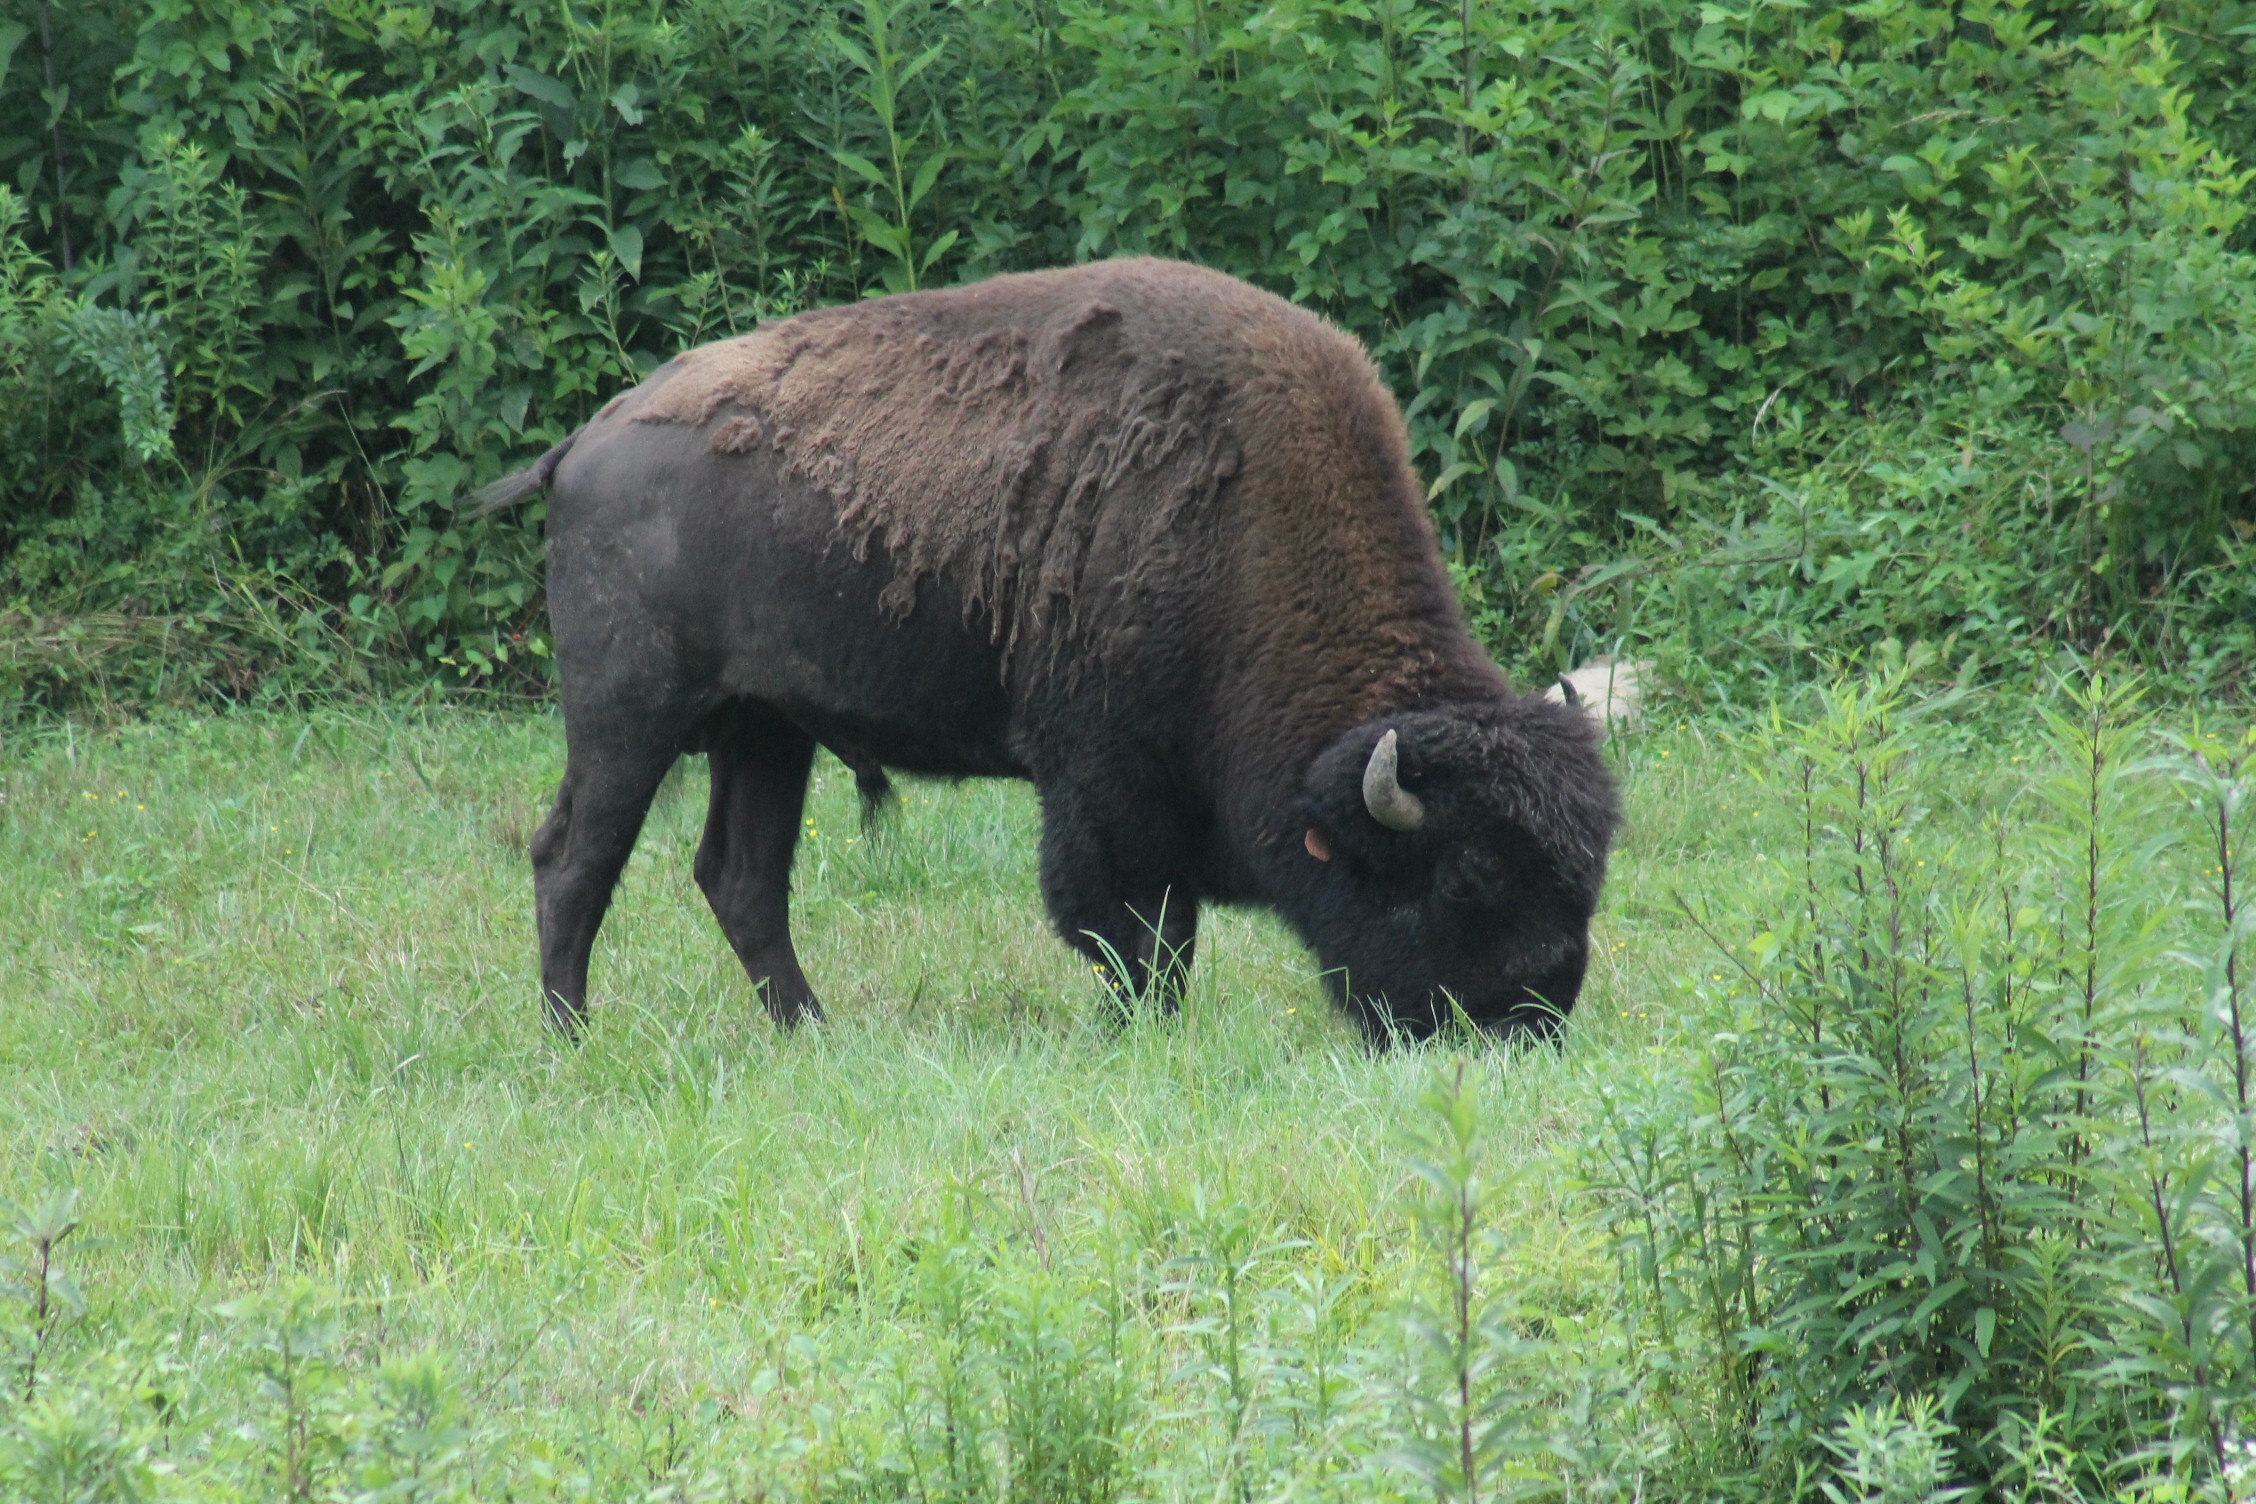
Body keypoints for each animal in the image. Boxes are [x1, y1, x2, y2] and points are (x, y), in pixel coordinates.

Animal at [476, 255, 1624, 1046]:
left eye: (1587, 871)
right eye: (1466, 879)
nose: (1532, 1018)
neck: (1252, 525)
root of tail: (586, 442)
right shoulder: (1104, 783)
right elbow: (1138, 933)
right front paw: (1136, 1032)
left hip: (765, 732)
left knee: (741, 878)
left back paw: (813, 1033)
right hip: (629, 718)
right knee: (574, 859)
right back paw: (573, 1040)